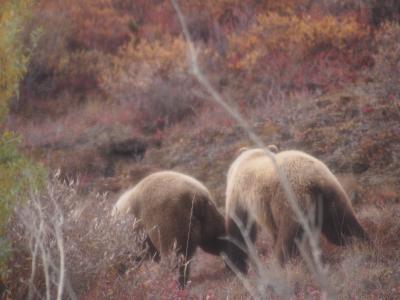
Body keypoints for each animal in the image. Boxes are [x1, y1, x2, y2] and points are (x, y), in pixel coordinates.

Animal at [225, 148, 368, 272]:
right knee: (342, 225)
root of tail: (315, 180)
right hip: (332, 198)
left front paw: (235, 263)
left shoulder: (240, 197)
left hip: (291, 202)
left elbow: (238, 230)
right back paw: (362, 242)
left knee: (288, 238)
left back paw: (279, 265)